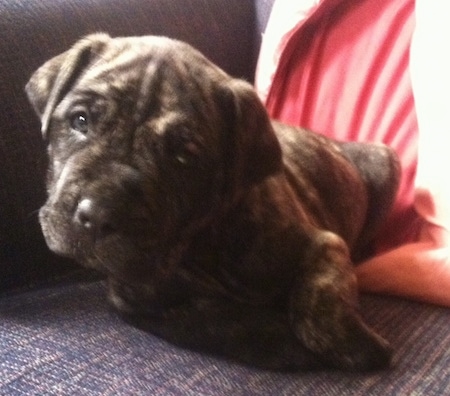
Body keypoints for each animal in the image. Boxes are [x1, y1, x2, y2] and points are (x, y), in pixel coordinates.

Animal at [26, 34, 400, 372]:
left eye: (184, 155)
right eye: (80, 120)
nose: (99, 214)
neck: (200, 244)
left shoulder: (324, 243)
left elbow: (321, 298)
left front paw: (356, 345)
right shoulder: (134, 296)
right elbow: (204, 319)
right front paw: (279, 342)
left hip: (385, 163)